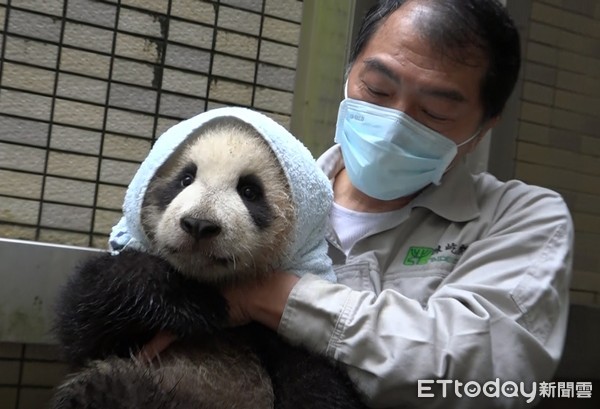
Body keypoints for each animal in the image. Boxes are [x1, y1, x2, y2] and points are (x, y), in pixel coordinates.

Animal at [51, 107, 366, 408]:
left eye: (250, 191)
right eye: (185, 179)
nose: (199, 225)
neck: (202, 276)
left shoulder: (280, 331)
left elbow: (316, 379)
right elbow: (82, 317)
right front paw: (199, 305)